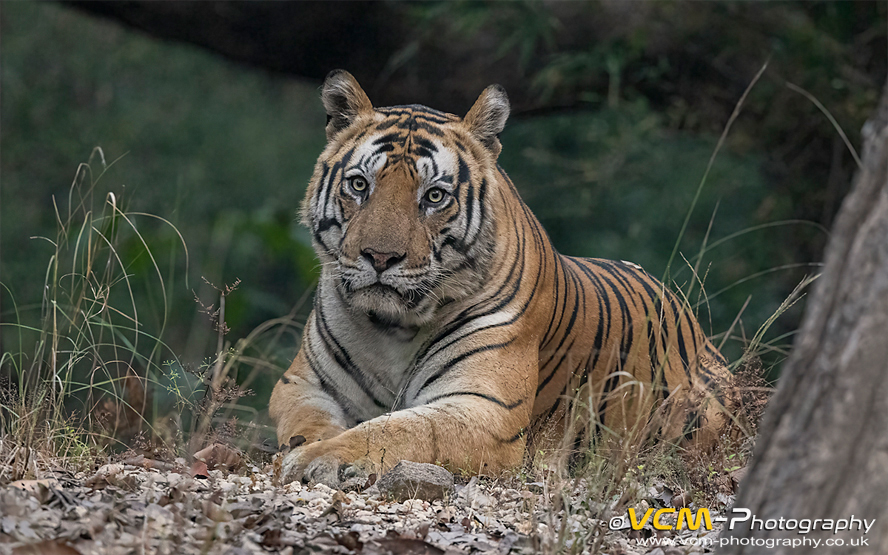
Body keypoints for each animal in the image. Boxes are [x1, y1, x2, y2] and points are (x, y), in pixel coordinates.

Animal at [272, 69, 736, 486]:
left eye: (434, 196)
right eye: (358, 185)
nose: (380, 257)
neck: (393, 329)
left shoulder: (483, 409)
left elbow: (397, 429)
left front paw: (320, 458)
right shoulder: (301, 384)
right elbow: (307, 423)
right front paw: (306, 447)